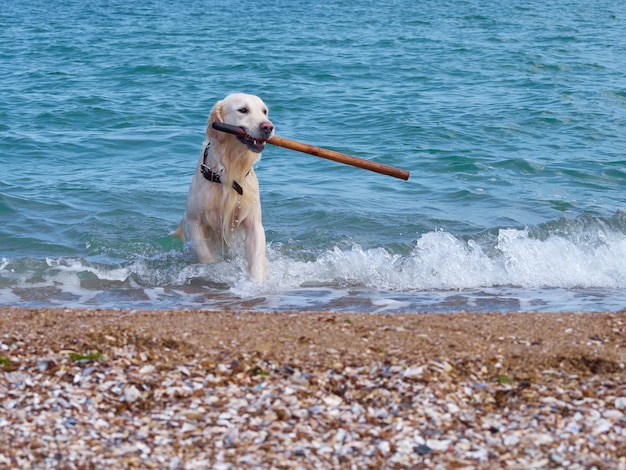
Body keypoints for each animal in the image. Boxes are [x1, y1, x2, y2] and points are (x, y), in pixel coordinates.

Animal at [174, 93, 274, 280]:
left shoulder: (254, 224)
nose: (268, 127)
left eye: (264, 111)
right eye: (243, 110)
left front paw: (256, 282)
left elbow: (256, 258)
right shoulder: (194, 221)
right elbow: (205, 254)